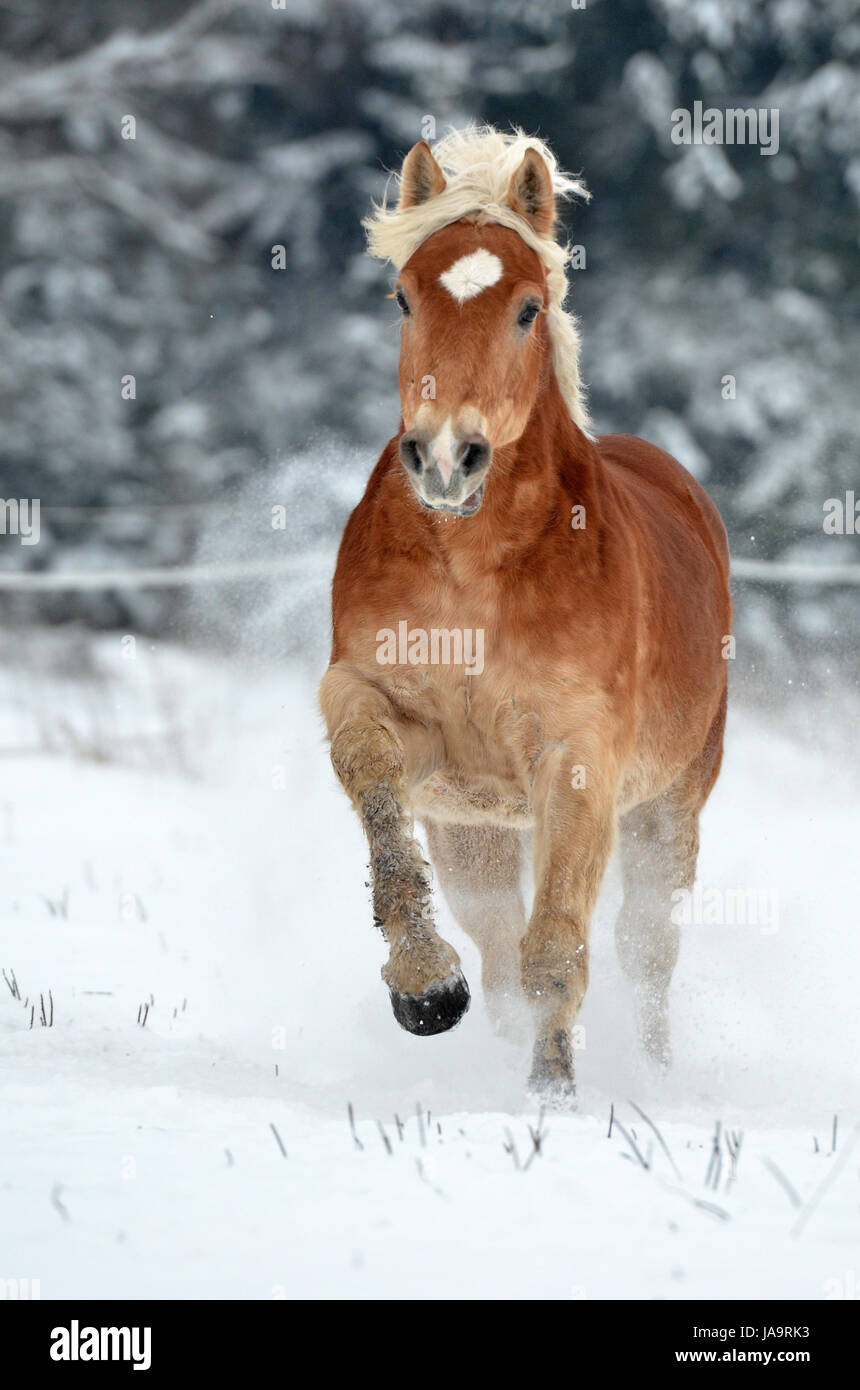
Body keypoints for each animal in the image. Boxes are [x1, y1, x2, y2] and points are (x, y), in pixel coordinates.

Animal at [319, 127, 730, 1104]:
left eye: (528, 308)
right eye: (403, 296)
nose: (444, 457)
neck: (477, 571)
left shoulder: (577, 759)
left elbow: (559, 951)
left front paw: (553, 1098)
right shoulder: (386, 714)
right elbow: (377, 797)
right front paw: (425, 989)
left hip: (668, 811)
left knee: (646, 953)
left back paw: (652, 1076)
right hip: (476, 827)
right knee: (500, 943)